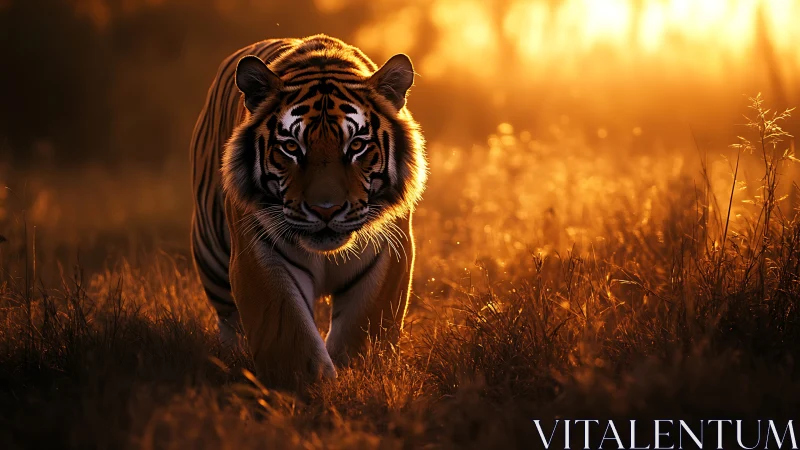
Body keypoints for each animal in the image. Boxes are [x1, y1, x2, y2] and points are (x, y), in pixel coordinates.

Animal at [190, 35, 427, 391]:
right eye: (291, 147)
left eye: (356, 146)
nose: (325, 209)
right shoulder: (259, 253)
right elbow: (288, 331)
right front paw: (307, 387)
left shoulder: (390, 252)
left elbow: (363, 329)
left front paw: (359, 376)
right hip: (210, 254)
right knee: (228, 318)